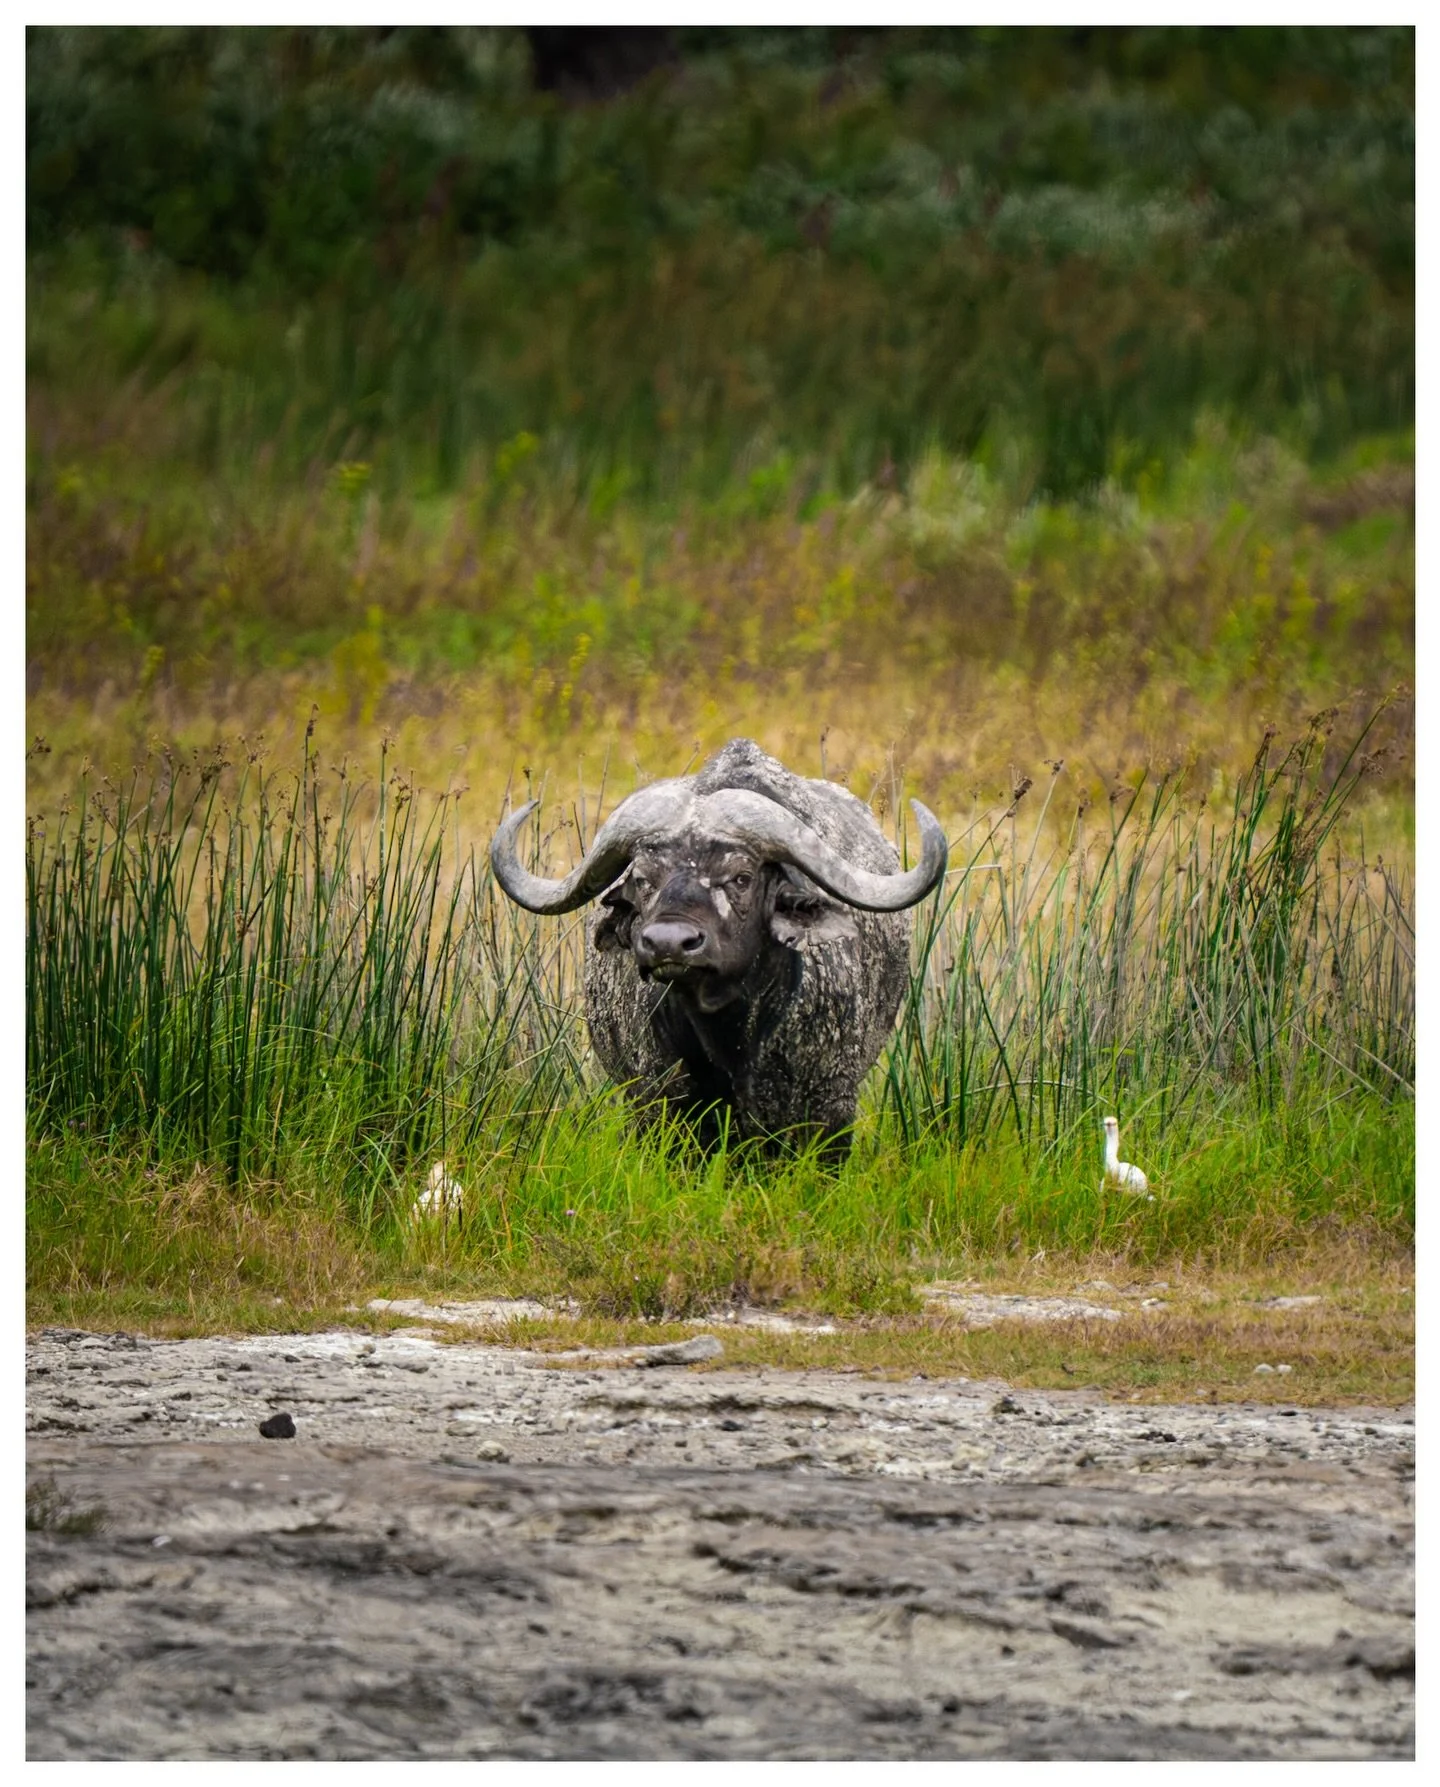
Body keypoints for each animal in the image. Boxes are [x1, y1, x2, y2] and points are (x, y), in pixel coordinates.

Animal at [489, 739, 947, 1153]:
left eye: (741, 877)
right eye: (643, 879)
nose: (668, 943)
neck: (728, 1037)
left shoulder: (829, 1107)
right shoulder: (658, 1104)